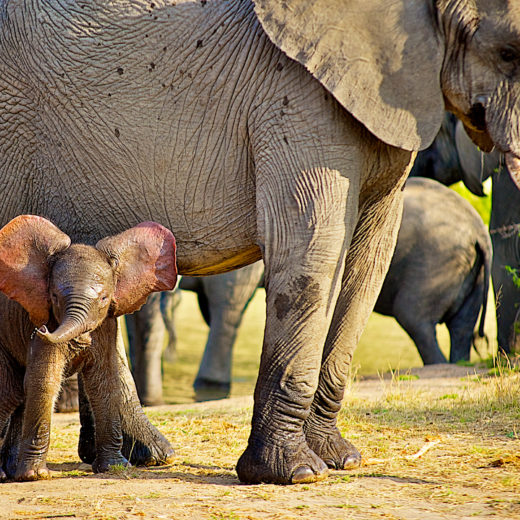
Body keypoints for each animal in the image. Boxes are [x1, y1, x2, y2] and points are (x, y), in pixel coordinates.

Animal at [1, 1, 520, 488]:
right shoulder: (296, 100)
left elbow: (368, 261)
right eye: (508, 52)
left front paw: (341, 461)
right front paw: (295, 473)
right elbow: (308, 244)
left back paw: (140, 457)